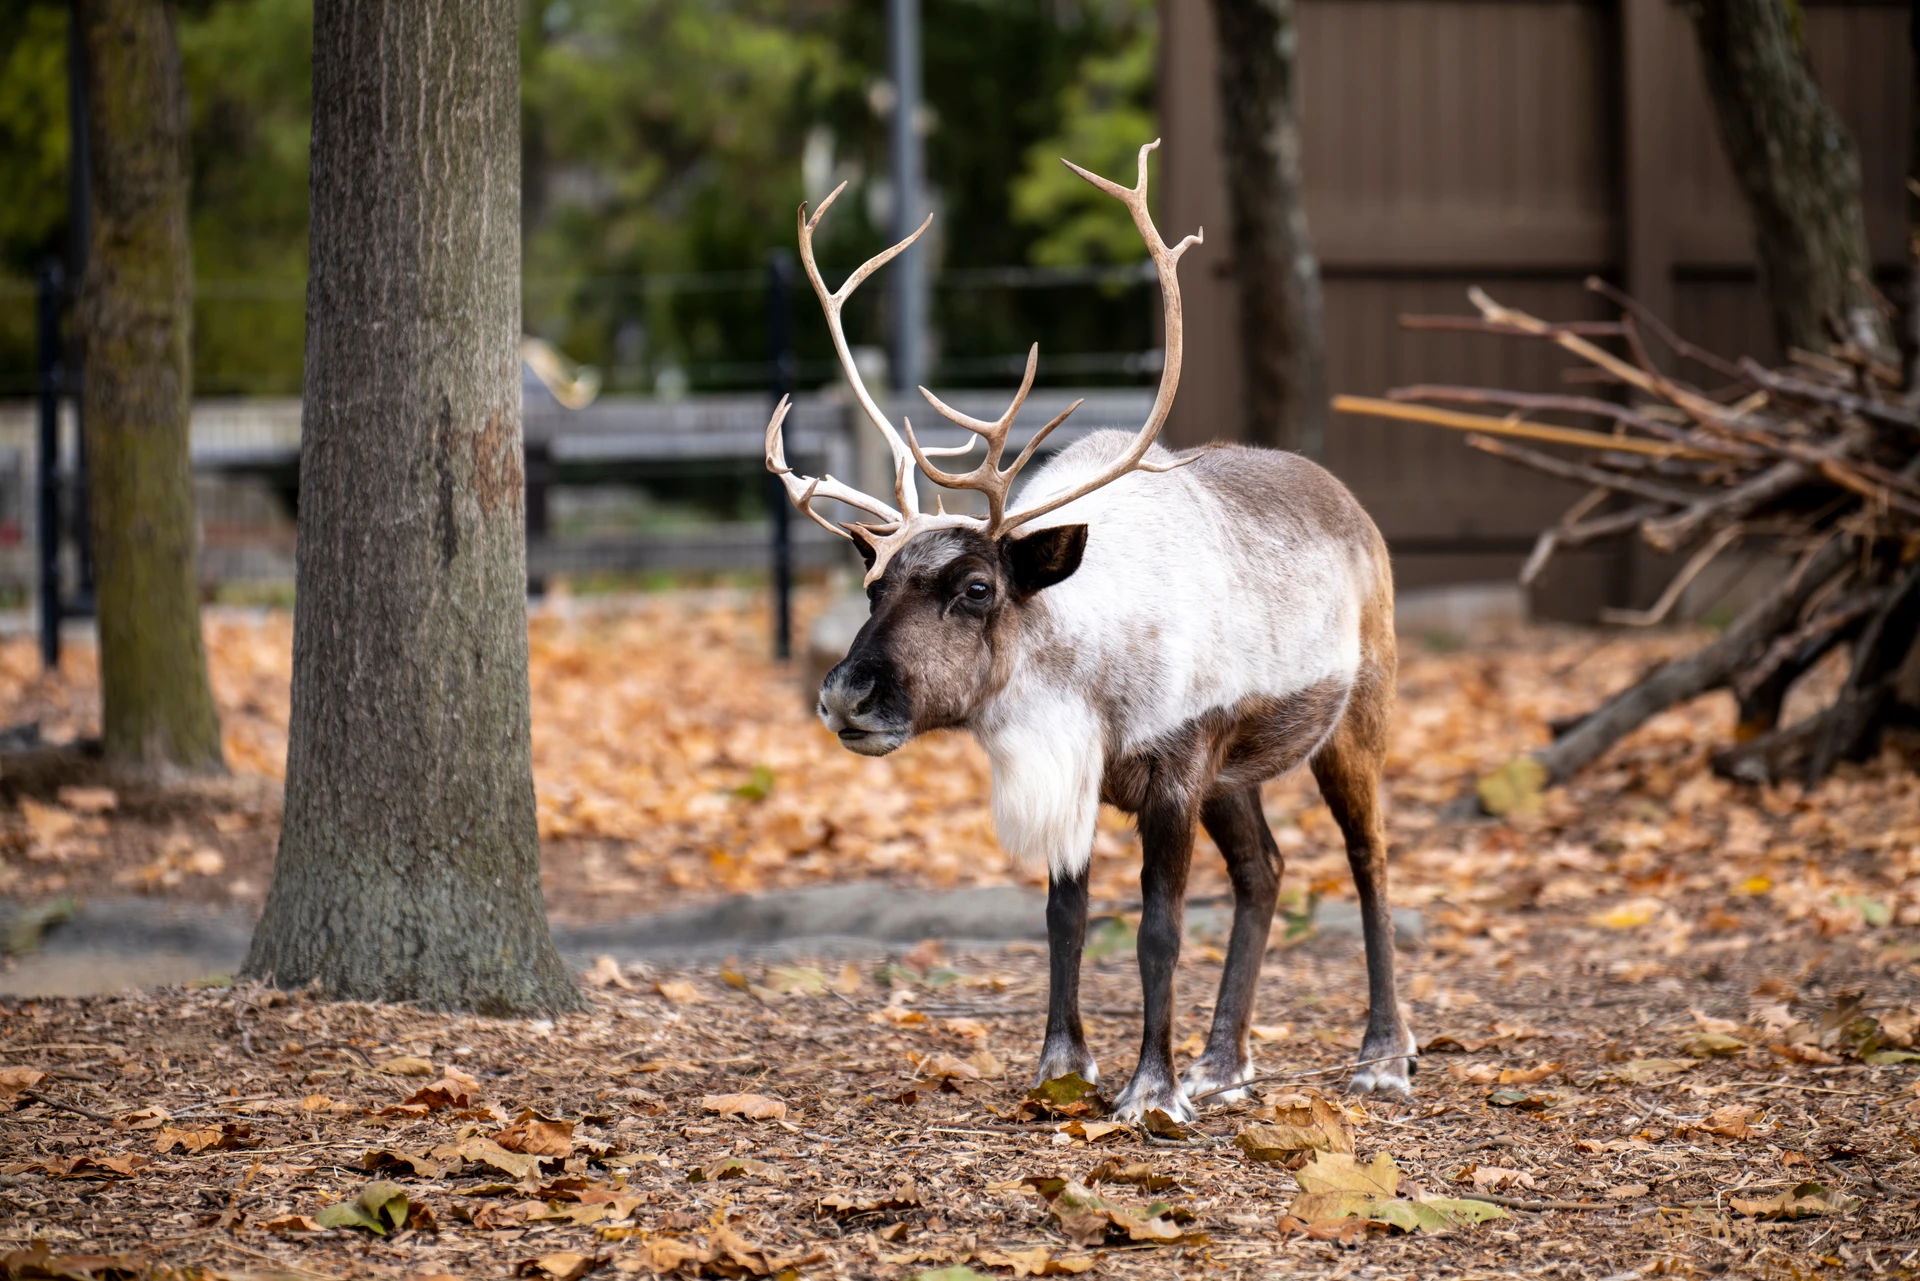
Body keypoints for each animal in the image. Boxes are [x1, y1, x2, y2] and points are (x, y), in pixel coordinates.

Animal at [764, 141, 1414, 1120]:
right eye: (874, 582)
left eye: (977, 586)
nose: (847, 693)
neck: (1078, 674)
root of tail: (1352, 506)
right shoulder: (1084, 771)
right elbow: (1063, 917)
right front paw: (1063, 1066)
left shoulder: (1176, 773)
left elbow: (1157, 929)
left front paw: (1152, 1090)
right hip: (1236, 774)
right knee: (1264, 869)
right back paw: (1225, 1062)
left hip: (1354, 715)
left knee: (1369, 856)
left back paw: (1380, 1054)